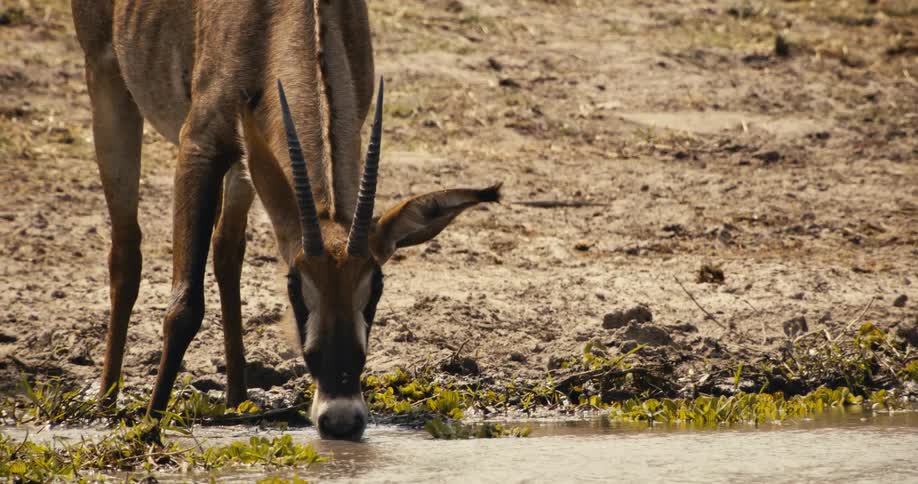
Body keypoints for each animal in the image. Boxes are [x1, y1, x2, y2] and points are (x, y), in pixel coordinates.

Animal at [71, 0, 499, 440]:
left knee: (226, 249)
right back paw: (106, 401)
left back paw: (236, 398)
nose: (340, 419)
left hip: (249, 164)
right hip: (107, 82)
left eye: (376, 286)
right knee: (126, 249)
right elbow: (184, 306)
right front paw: (150, 428)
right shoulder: (199, 149)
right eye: (294, 284)